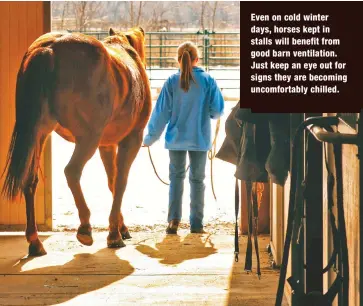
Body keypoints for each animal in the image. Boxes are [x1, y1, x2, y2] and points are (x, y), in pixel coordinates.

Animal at [1, 26, 152, 256]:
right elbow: (120, 182)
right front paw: (114, 234)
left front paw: (120, 227)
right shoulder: (131, 140)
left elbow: (112, 181)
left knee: (30, 180)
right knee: (72, 172)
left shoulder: (106, 145)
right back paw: (85, 228)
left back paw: (35, 242)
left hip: (39, 133)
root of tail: (49, 49)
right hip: (87, 139)